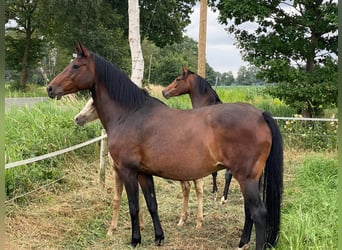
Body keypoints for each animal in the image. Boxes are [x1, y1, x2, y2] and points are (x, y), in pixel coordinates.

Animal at [162, 66, 232, 203]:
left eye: (177, 79)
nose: (164, 92)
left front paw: (214, 190)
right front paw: (214, 189)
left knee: (228, 174)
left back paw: (224, 198)